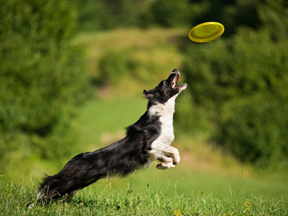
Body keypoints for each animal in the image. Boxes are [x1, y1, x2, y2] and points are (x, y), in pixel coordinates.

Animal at [35, 69, 187, 204]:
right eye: (164, 81)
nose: (174, 69)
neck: (162, 111)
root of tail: (73, 160)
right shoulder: (150, 144)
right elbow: (175, 151)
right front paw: (174, 161)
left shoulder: (156, 150)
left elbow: (168, 156)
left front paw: (164, 165)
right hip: (69, 181)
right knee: (49, 186)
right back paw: (33, 206)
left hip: (79, 183)